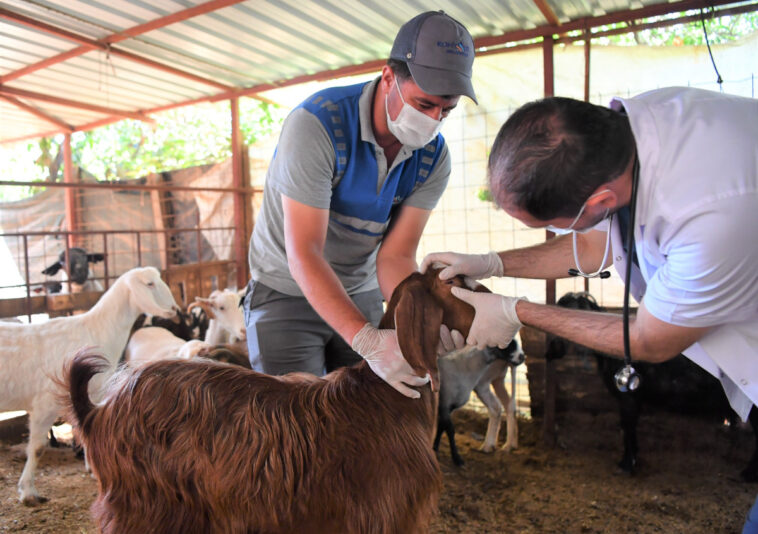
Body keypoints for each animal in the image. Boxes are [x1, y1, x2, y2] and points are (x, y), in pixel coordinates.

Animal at [0, 268, 177, 506]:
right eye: (149, 284)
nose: (174, 309)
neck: (97, 330)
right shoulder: (45, 404)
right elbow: (37, 448)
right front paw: (28, 491)